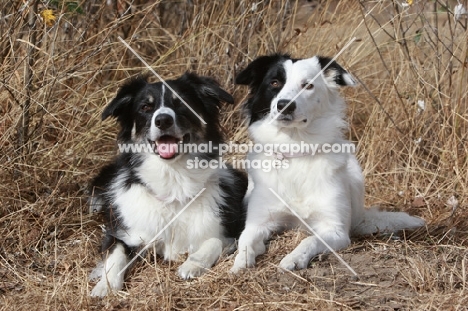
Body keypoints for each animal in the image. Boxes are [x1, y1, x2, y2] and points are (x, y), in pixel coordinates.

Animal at [89, 71, 247, 298]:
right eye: (145, 107)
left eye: (181, 103)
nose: (163, 120)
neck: (173, 181)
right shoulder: (122, 234)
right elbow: (115, 254)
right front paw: (106, 286)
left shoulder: (230, 232)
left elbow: (215, 241)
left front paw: (192, 265)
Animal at [230, 54, 424, 274]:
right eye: (275, 83)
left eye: (308, 85)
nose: (285, 105)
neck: (296, 148)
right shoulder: (258, 222)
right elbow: (245, 241)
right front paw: (241, 262)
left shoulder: (335, 229)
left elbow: (310, 240)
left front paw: (294, 258)